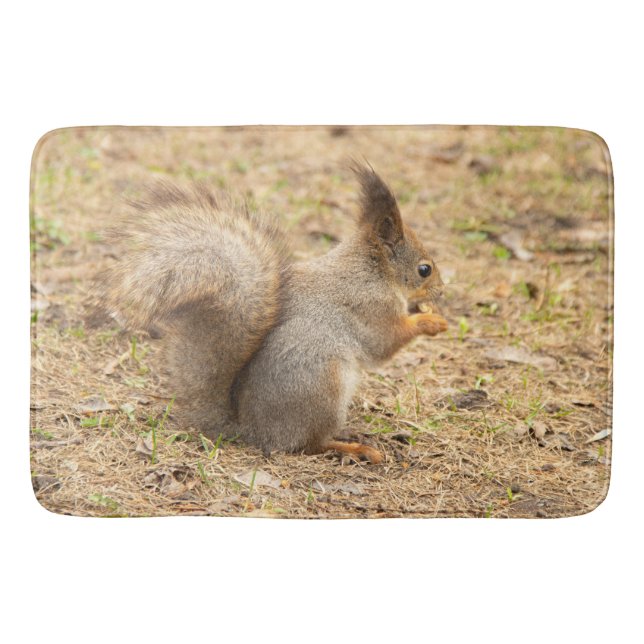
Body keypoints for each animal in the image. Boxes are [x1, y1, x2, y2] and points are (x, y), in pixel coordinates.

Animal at [99, 163, 448, 464]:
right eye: (424, 269)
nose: (442, 292)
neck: (372, 271)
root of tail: (252, 431)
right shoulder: (371, 307)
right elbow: (385, 343)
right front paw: (431, 321)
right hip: (322, 387)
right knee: (309, 445)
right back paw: (354, 448)